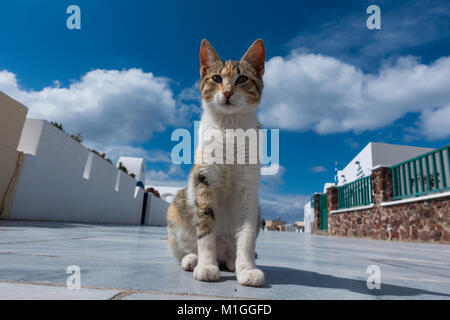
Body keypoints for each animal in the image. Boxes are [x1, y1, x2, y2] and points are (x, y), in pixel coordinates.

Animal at [167, 38, 266, 286]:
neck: (229, 128)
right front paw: (206, 266)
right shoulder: (203, 179)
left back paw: (232, 261)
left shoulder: (249, 188)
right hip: (176, 208)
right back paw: (192, 259)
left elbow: (247, 234)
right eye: (216, 78)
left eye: (242, 79)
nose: (228, 92)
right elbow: (205, 228)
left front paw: (247, 268)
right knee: (183, 247)